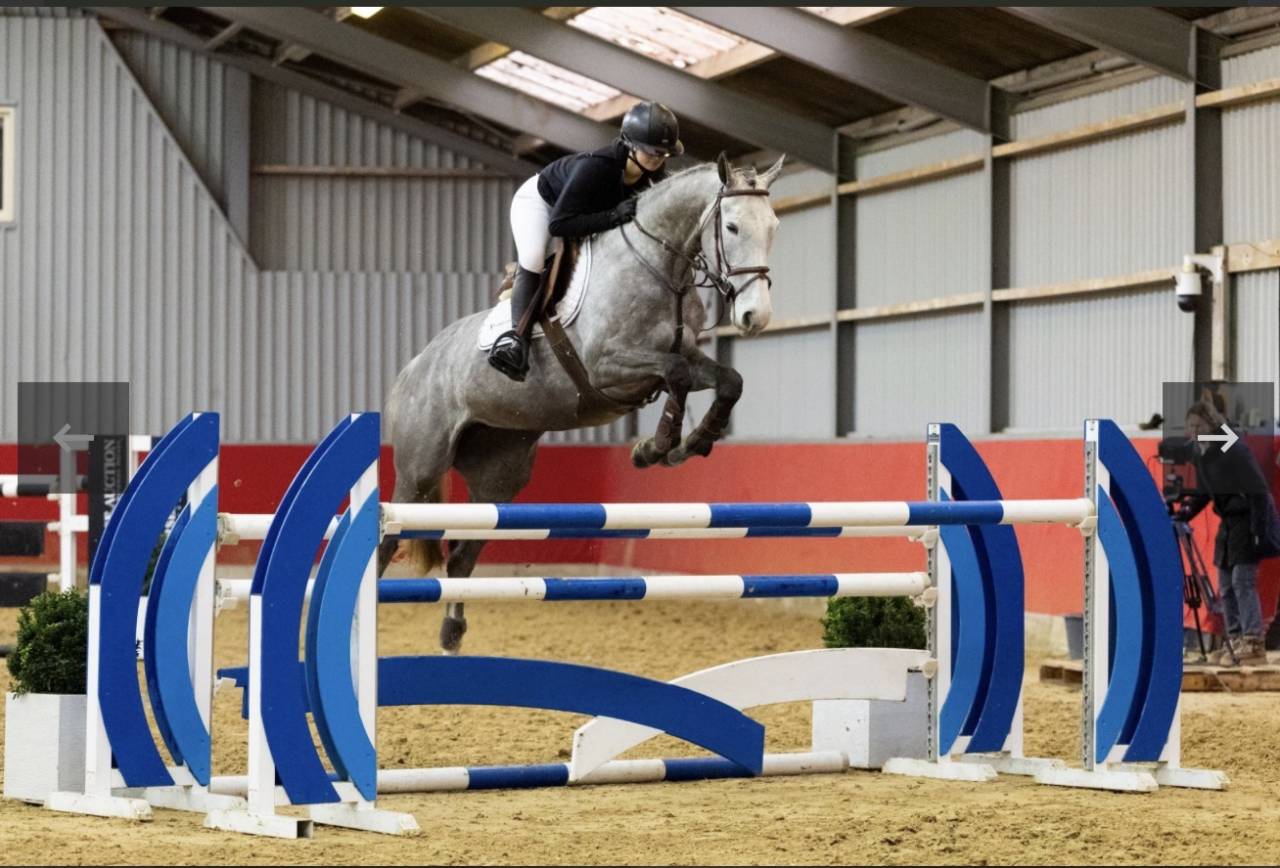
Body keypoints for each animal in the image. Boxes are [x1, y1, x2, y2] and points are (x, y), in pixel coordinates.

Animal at [380, 153, 785, 652]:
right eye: (730, 226)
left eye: (773, 226)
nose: (754, 317)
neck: (659, 266)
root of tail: (412, 367)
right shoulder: (607, 367)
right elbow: (675, 373)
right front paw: (655, 448)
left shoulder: (685, 355)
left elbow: (727, 381)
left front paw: (689, 444)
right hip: (420, 469)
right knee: (386, 540)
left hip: (499, 475)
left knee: (461, 556)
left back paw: (451, 635)